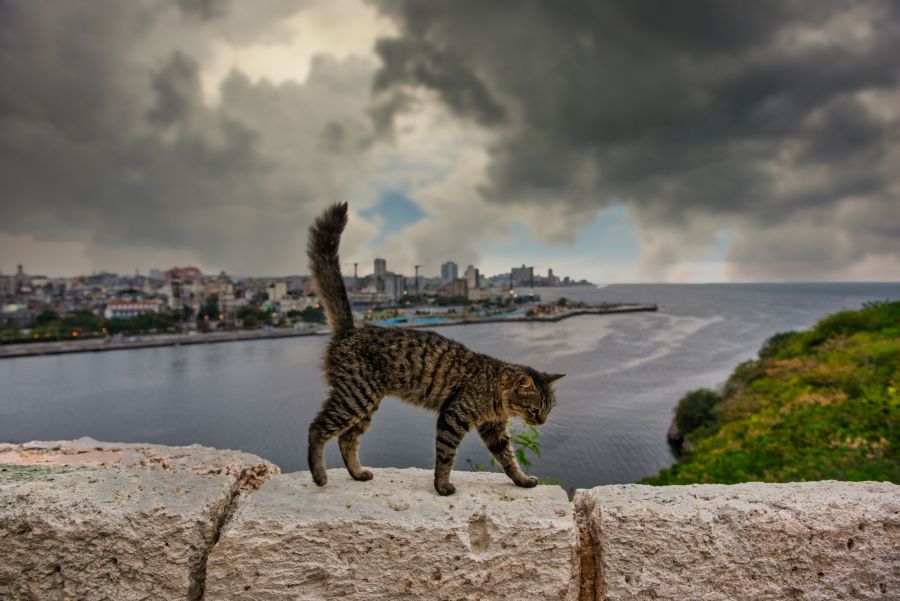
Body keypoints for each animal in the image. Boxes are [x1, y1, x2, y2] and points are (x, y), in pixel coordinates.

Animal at [308, 202, 564, 492]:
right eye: (535, 409)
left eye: (548, 410)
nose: (542, 421)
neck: (495, 392)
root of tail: (351, 330)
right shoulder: (454, 417)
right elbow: (445, 456)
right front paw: (442, 487)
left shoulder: (493, 428)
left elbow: (508, 459)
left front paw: (520, 480)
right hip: (354, 397)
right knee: (317, 429)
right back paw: (319, 475)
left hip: (366, 404)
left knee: (347, 439)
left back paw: (357, 473)